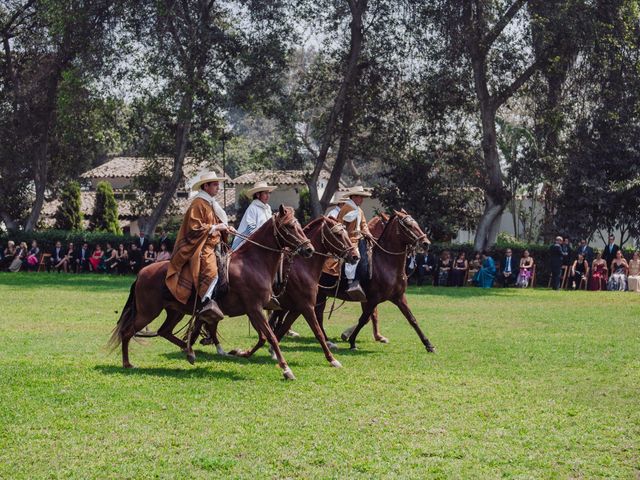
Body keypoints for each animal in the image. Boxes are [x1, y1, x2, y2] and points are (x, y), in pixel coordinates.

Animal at [110, 204, 316, 380]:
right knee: (127, 332)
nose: (309, 249)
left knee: (164, 331)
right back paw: (127, 363)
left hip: (174, 311)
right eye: (290, 226)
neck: (253, 263)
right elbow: (271, 337)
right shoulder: (255, 309)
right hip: (148, 312)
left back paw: (189, 353)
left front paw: (239, 352)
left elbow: (264, 337)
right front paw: (287, 370)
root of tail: (141, 273)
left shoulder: (254, 310)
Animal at [206, 216, 360, 366]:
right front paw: (332, 359)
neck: (302, 266)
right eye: (338, 234)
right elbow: (317, 332)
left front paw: (272, 351)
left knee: (212, 324)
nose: (355, 256)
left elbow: (282, 329)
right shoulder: (306, 306)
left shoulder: (296, 308)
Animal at [314, 212, 436, 350]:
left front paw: (428, 344)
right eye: (408, 225)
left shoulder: (398, 297)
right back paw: (327, 341)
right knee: (318, 315)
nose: (425, 243)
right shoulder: (372, 299)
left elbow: (411, 319)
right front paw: (351, 340)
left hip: (322, 294)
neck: (386, 263)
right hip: (319, 293)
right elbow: (364, 318)